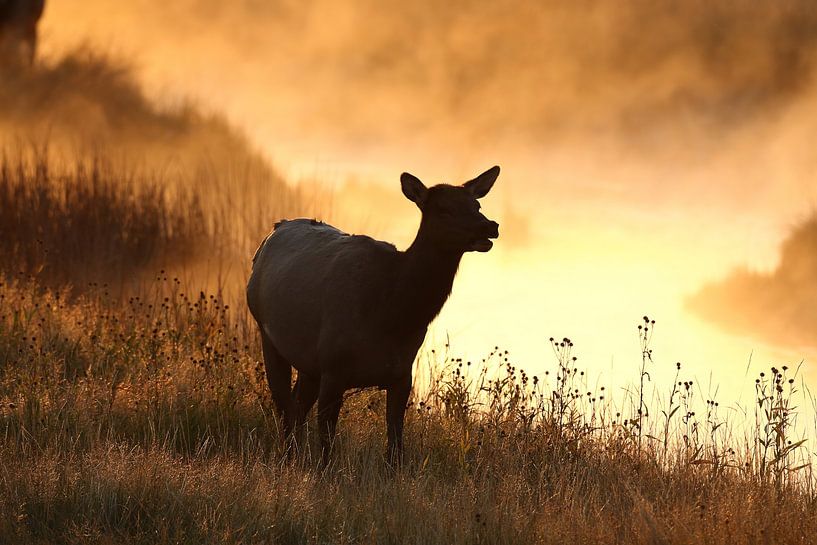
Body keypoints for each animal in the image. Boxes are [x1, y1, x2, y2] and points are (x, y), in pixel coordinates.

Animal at [246, 166, 500, 465]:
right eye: (444, 209)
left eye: (477, 204)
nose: (490, 226)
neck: (390, 317)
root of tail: (273, 231)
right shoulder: (333, 366)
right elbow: (327, 446)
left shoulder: (402, 373)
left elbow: (396, 447)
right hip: (268, 335)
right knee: (284, 406)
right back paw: (288, 457)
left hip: (309, 362)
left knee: (296, 406)